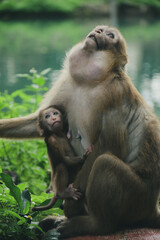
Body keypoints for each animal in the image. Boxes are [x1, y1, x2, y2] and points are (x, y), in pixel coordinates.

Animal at [0, 25, 160, 238]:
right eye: (101, 29)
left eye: (110, 35)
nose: (98, 31)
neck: (90, 82)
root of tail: (151, 208)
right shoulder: (67, 83)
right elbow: (37, 122)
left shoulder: (115, 93)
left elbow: (108, 146)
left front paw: (70, 205)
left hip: (134, 198)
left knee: (104, 162)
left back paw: (93, 224)